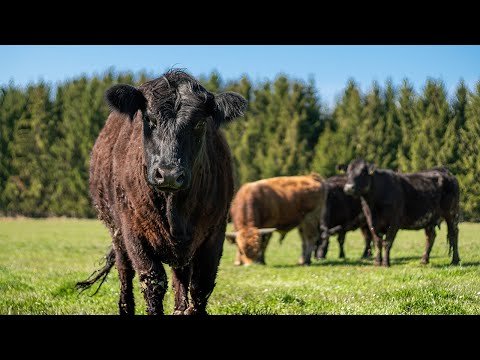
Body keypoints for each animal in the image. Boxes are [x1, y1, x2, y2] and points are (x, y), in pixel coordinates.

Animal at [76, 69, 248, 314]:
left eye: (199, 123)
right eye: (149, 119)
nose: (168, 173)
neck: (174, 207)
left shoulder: (215, 231)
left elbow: (201, 285)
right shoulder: (133, 231)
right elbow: (153, 281)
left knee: (181, 276)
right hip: (116, 232)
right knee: (124, 270)